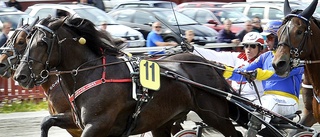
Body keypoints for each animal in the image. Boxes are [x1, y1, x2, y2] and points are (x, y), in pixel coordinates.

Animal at [12, 16, 242, 136]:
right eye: (27, 40)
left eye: (42, 42)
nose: (20, 76)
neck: (92, 73)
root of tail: (209, 65)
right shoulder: (77, 121)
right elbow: (46, 121)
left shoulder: (97, 125)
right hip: (163, 121)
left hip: (214, 114)